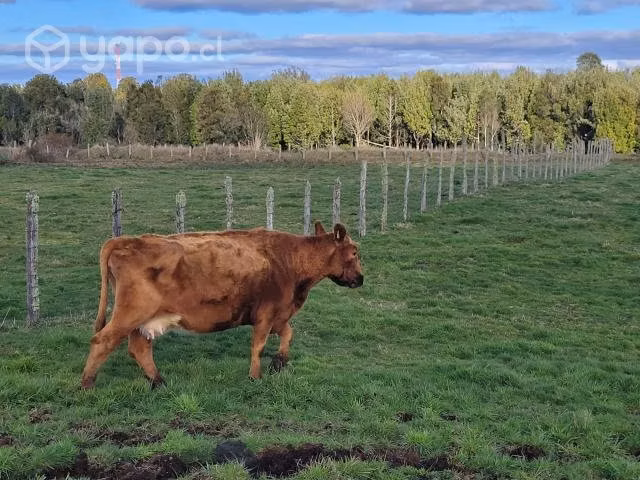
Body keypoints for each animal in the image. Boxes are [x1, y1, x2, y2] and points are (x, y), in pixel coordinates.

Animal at [81, 222, 363, 389]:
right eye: (354, 252)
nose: (361, 279)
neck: (289, 260)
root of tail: (126, 240)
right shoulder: (267, 314)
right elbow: (258, 346)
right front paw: (255, 376)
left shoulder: (278, 315)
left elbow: (288, 333)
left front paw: (279, 361)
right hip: (131, 313)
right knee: (102, 341)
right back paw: (87, 384)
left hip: (142, 320)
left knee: (139, 349)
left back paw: (159, 381)